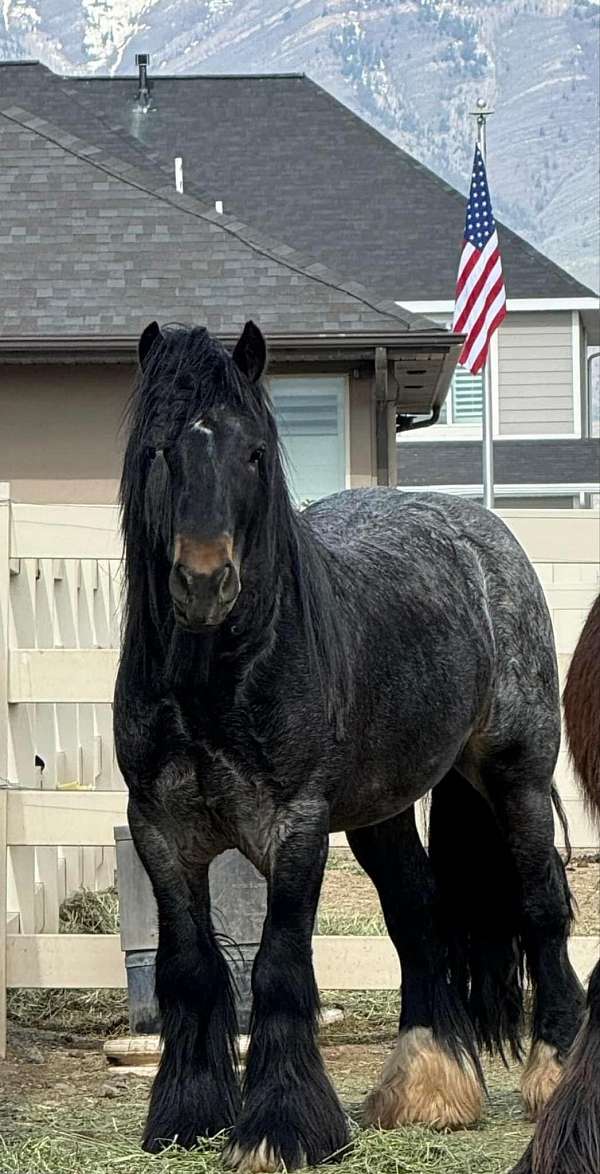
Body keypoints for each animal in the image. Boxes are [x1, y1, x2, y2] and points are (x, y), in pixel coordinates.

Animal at [115, 316, 584, 1169]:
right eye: (160, 449)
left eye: (253, 453)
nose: (205, 581)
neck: (216, 683)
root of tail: (480, 534)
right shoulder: (159, 832)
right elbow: (192, 967)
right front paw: (188, 1114)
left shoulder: (296, 829)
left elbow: (277, 967)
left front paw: (279, 1129)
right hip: (382, 811)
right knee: (417, 912)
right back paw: (428, 1086)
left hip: (516, 778)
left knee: (542, 904)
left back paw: (555, 1072)